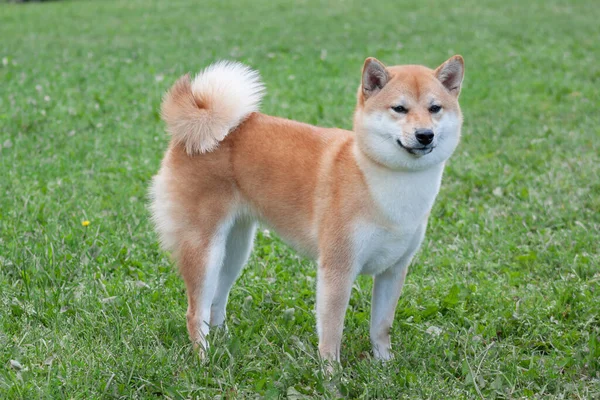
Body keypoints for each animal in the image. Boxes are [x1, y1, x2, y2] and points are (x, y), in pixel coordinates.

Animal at [149, 54, 464, 364]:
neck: (380, 178)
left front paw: (385, 367)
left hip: (235, 249)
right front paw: (332, 375)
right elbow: (332, 332)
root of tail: (198, 124)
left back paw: (224, 345)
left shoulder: (394, 268)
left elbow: (381, 327)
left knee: (216, 301)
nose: (425, 134)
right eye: (399, 108)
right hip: (205, 248)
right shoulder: (338, 267)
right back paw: (204, 361)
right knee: (195, 312)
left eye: (435, 108)